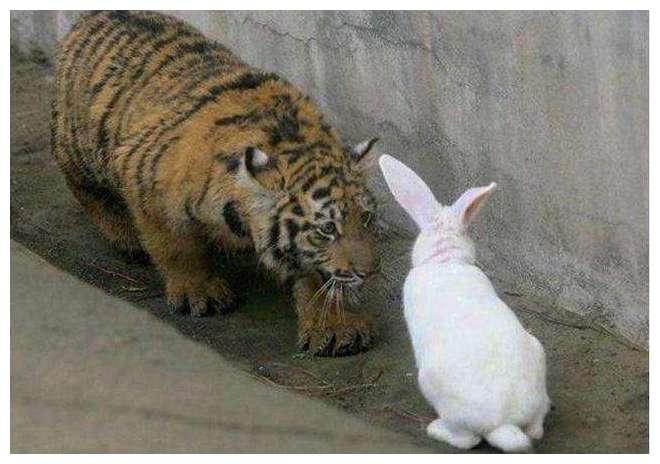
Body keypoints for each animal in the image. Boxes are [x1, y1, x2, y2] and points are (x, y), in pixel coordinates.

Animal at [51, 11, 381, 356]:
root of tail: (93, 15)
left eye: (366, 218)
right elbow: (174, 245)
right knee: (81, 184)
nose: (370, 272)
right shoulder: (143, 175)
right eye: (327, 228)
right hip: (81, 146)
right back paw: (125, 236)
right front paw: (198, 292)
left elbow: (318, 273)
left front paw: (335, 327)